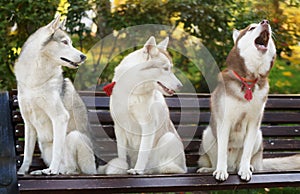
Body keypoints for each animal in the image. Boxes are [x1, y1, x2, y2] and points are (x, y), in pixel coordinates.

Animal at [14, 15, 96, 175]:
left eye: (71, 43)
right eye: (64, 42)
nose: (84, 56)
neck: (35, 80)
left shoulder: (60, 117)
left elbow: (58, 149)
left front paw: (52, 170)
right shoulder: (28, 123)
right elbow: (27, 153)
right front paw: (21, 172)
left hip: (74, 137)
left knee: (72, 169)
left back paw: (56, 171)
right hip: (45, 147)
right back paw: (41, 171)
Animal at [103, 36, 188, 174]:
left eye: (170, 68)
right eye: (165, 69)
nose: (180, 86)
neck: (132, 92)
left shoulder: (148, 126)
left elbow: (143, 152)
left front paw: (137, 170)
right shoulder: (119, 128)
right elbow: (121, 155)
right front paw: (121, 168)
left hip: (168, 138)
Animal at [197, 19, 300, 181]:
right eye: (251, 28)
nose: (266, 21)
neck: (250, 80)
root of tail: (232, 166)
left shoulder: (254, 123)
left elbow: (246, 152)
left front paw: (245, 169)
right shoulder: (224, 121)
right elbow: (222, 152)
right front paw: (220, 170)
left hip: (259, 136)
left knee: (247, 159)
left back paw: (248, 167)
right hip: (208, 135)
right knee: (216, 157)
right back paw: (211, 169)